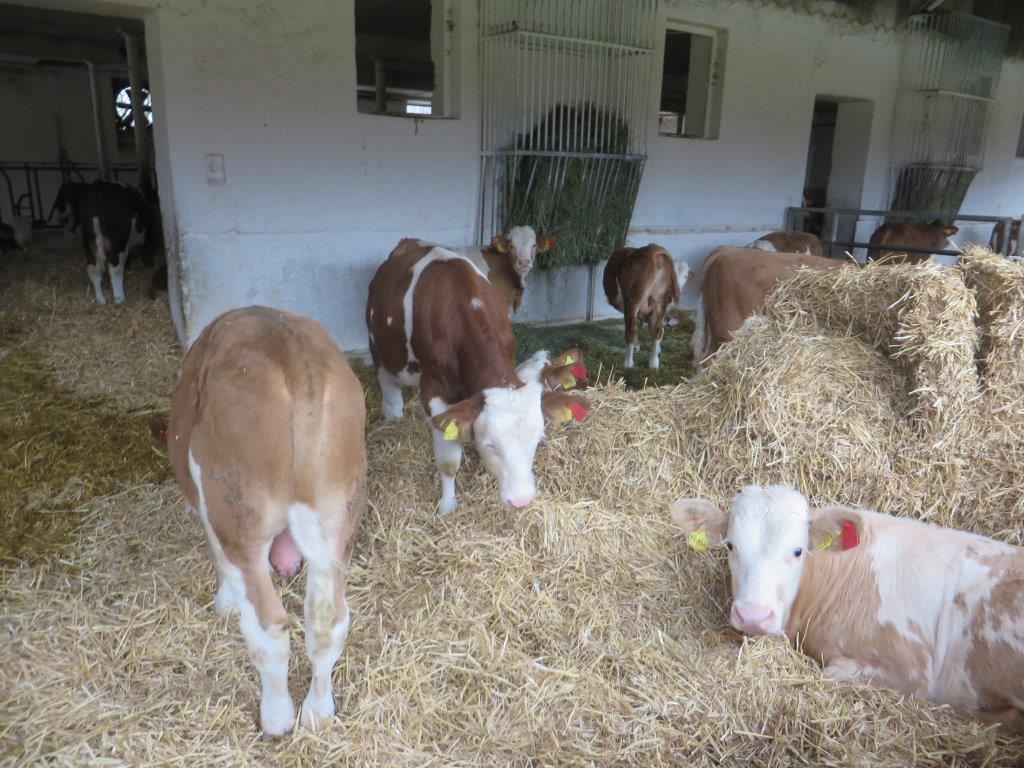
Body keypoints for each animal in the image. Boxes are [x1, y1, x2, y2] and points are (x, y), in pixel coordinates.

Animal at [169, 307, 370, 741]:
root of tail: (296, 363)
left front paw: (224, 604)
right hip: (341, 515)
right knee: (328, 620)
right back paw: (317, 713)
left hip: (237, 514)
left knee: (270, 627)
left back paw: (277, 719)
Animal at [368, 239, 593, 518]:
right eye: (490, 445)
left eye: (537, 440)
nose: (521, 501)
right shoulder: (435, 388)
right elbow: (448, 461)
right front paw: (447, 507)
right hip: (378, 348)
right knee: (390, 391)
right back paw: (394, 415)